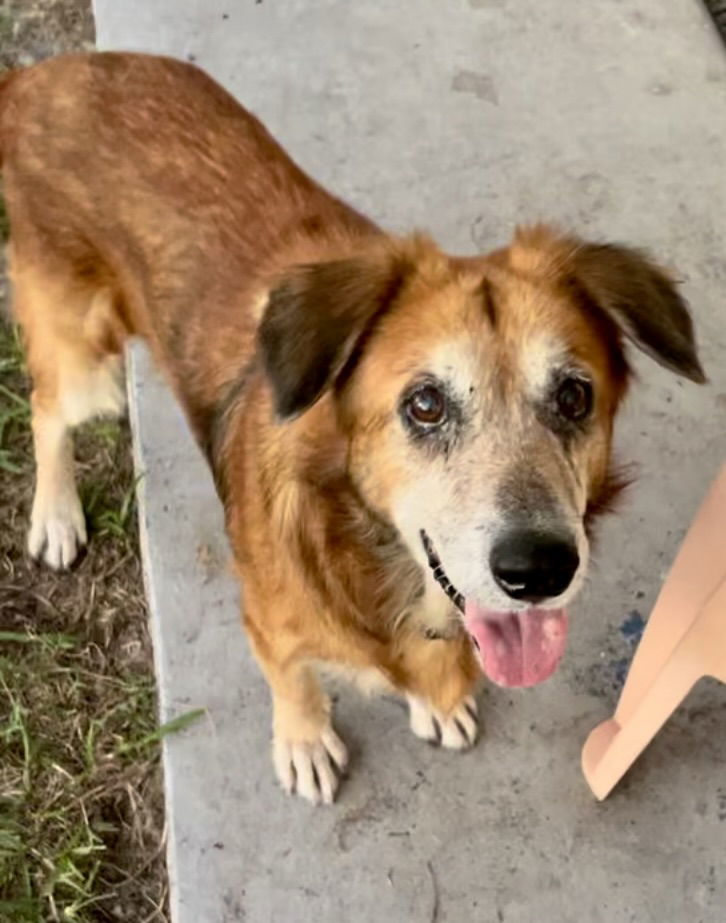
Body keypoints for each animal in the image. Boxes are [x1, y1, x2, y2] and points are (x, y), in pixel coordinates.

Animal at [1, 52, 704, 800]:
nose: (540, 569)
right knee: (46, 410)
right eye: (424, 405)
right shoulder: (268, 622)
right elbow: (293, 680)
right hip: (84, 360)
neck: (365, 544)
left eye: (573, 397)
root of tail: (43, 74)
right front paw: (305, 739)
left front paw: (436, 701)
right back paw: (55, 516)